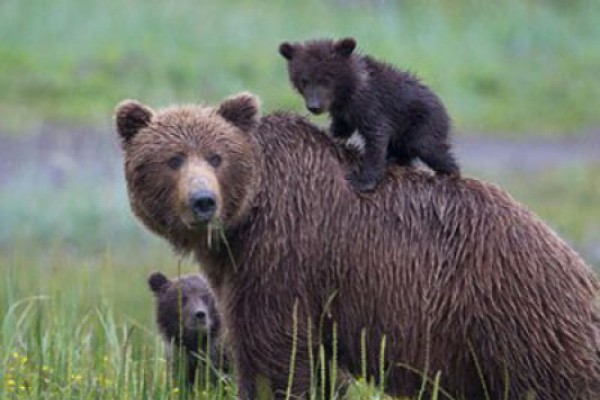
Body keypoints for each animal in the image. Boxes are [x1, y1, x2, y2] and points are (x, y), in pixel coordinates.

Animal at [116, 92, 600, 398]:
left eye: (216, 157)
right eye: (173, 159)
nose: (203, 202)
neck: (248, 217)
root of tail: (572, 258)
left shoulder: (284, 254)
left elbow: (275, 352)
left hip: (517, 317)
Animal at [278, 38, 460, 192]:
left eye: (326, 79)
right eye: (304, 80)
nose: (314, 106)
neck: (348, 92)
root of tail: (444, 108)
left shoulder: (373, 105)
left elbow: (376, 139)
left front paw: (363, 181)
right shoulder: (343, 113)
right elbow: (341, 129)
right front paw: (328, 133)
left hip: (422, 124)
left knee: (429, 147)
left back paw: (448, 173)